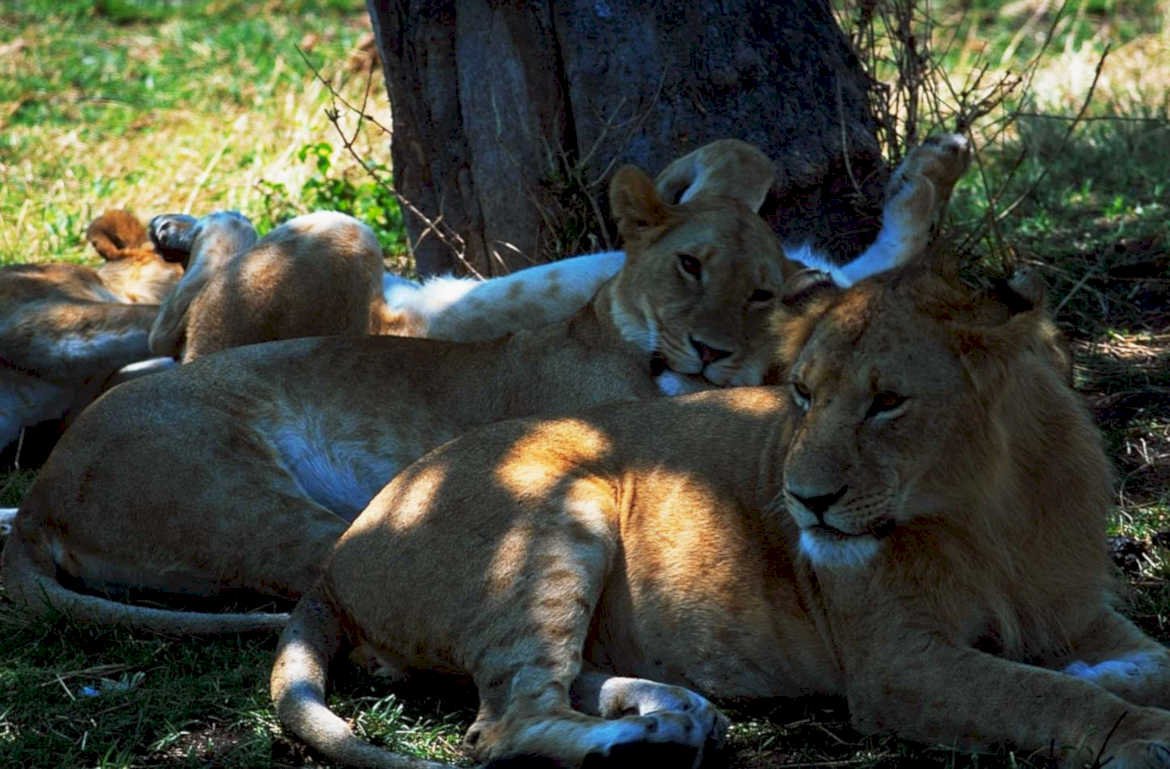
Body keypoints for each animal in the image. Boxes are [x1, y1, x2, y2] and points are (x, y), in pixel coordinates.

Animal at [0, 136, 970, 633]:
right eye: (690, 268)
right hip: (262, 466)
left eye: (758, 293)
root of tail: (41, 495)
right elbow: (741, 172)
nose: (708, 351)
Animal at [268, 264, 1170, 769]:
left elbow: (1136, 660)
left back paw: (677, 711)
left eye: (887, 402)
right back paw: (634, 743)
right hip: (563, 498)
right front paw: (1138, 730)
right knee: (503, 722)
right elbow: (1042, 694)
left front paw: (1109, 676)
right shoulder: (895, 665)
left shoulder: (1074, 610)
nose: (804, 500)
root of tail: (341, 551)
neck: (989, 508)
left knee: (543, 682)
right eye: (802, 392)